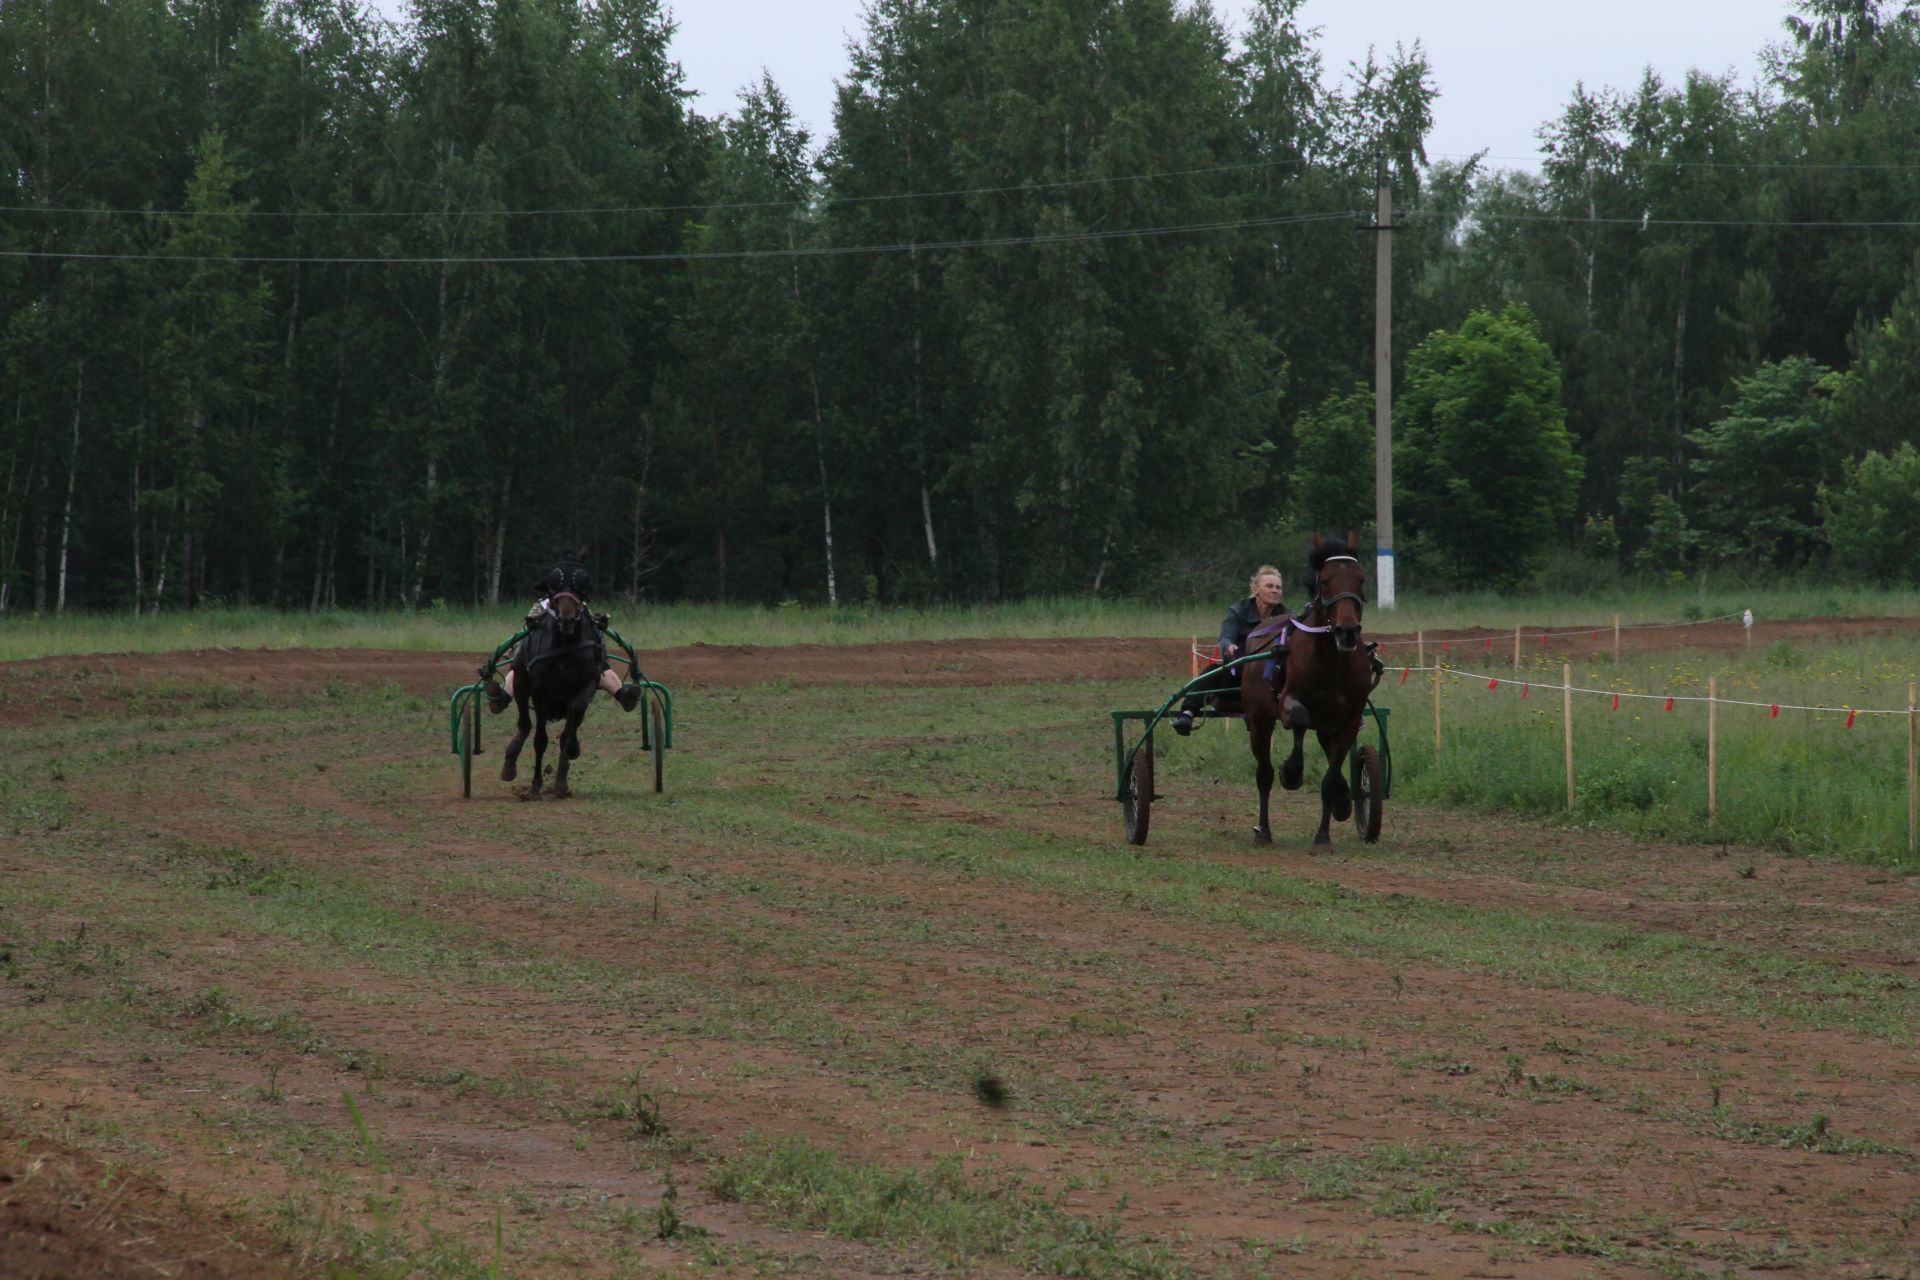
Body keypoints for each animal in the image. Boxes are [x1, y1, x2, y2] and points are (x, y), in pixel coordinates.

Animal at [499, 594, 602, 802]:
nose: (566, 618)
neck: (565, 642)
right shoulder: (540, 693)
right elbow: (540, 740)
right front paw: (534, 788)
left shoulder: (589, 683)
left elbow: (572, 718)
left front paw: (563, 778)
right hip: (521, 682)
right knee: (524, 724)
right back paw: (510, 762)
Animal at [1244, 533, 1382, 844]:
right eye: (1326, 580)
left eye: (1360, 579)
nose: (1347, 631)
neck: (1331, 661)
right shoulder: (1288, 700)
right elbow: (1298, 718)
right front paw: (1291, 771)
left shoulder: (1348, 719)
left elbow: (1331, 777)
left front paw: (1325, 834)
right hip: (1259, 720)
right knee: (1264, 772)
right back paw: (1263, 831)